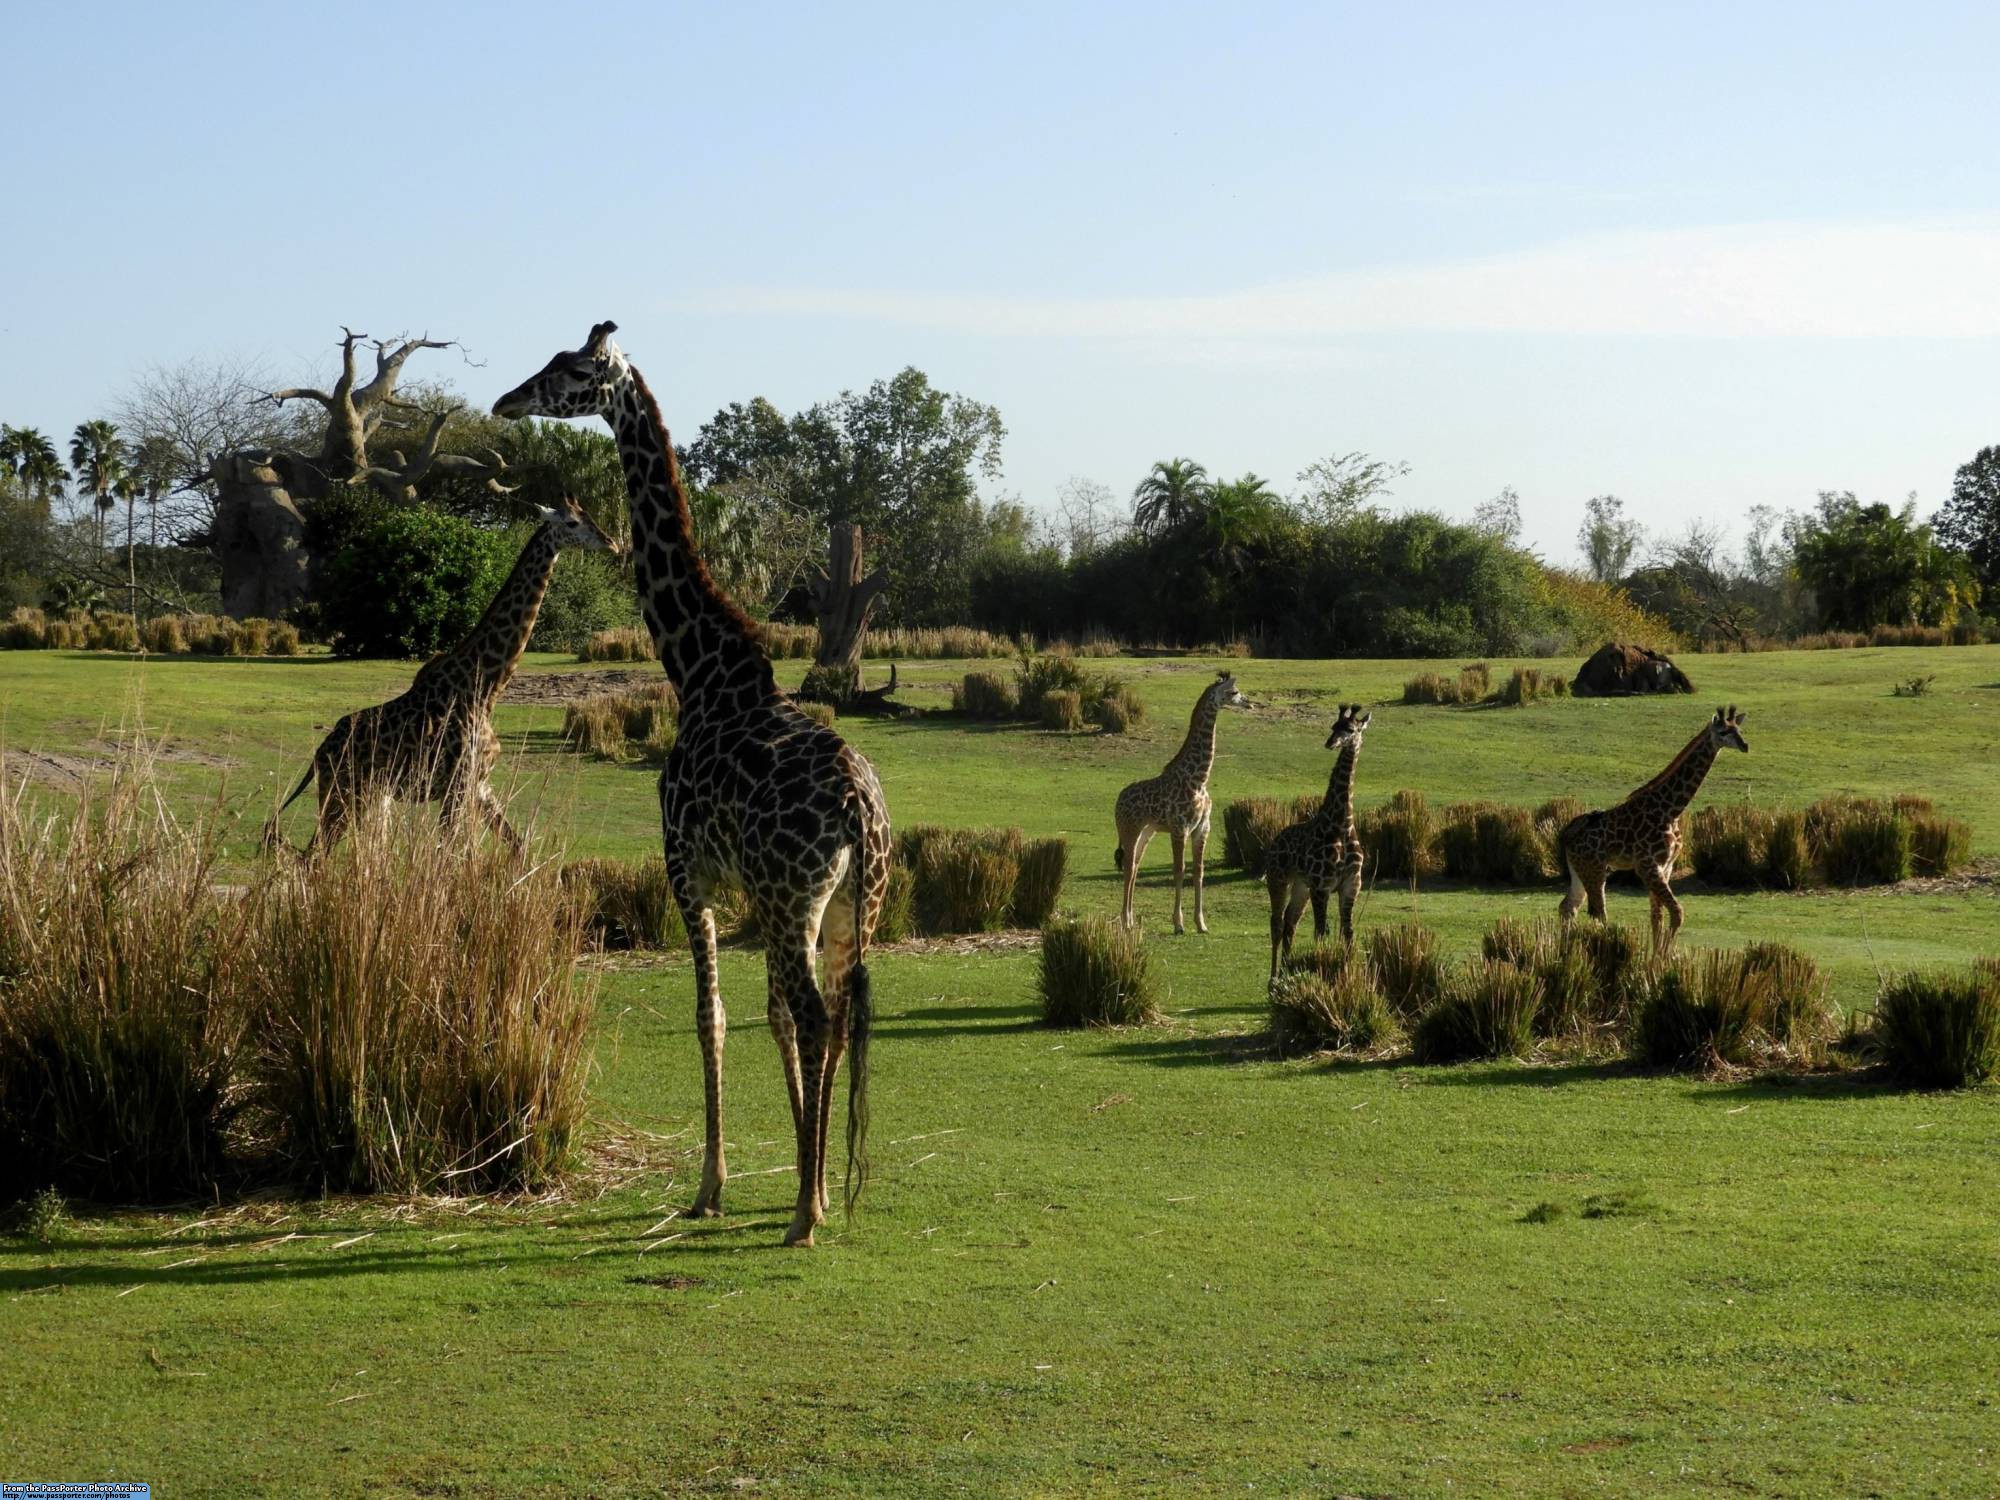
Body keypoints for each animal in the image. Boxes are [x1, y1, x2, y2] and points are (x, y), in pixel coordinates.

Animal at [262, 494, 616, 856]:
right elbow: (451, 854)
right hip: (345, 793)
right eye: (572, 522)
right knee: (315, 856)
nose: (612, 543)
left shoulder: (478, 783)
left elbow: (513, 847)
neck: (487, 687)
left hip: (364, 795)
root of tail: (319, 755)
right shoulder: (457, 783)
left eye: (589, 515)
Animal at [488, 324, 888, 1248]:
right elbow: (766, 1017)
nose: (505, 401)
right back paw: (819, 1197)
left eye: (570, 372)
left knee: (818, 1015)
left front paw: (713, 1186)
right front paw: (800, 1176)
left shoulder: (687, 870)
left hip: (796, 896)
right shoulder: (749, 890)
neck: (699, 668)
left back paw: (803, 1220)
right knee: (834, 1017)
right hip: (853, 903)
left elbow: (713, 1018)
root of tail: (860, 810)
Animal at [1112, 676, 1248, 936]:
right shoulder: (1179, 827)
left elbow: (1198, 871)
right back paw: (1125, 922)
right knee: (1128, 866)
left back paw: (1131, 920)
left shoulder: (1201, 829)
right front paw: (1178, 924)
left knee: (1135, 867)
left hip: (1147, 832)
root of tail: (1118, 801)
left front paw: (1201, 923)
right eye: (1234, 692)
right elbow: (1179, 870)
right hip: (1129, 829)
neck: (1198, 779)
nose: (1249, 703)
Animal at [1264, 708, 1376, 988]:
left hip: (1301, 887)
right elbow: (1321, 931)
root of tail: (1275, 841)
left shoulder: (1350, 885)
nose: (1330, 743)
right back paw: (1273, 979)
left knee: (1290, 923)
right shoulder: (1322, 886)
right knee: (1276, 924)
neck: (1341, 824)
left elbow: (1347, 932)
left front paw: (1348, 976)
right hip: (1279, 880)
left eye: (1351, 729)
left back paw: (1285, 972)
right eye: (1333, 726)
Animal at [1552, 704, 1744, 952]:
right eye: (1723, 732)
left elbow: (1657, 916)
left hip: (1579, 869)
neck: (1671, 809)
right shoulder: (1647, 865)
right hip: (1594, 869)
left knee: (1568, 907)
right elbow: (1676, 912)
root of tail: (1567, 834)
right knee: (1598, 913)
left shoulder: (1665, 867)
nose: (1745, 745)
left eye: (1739, 730)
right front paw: (1664, 957)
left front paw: (1656, 958)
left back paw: (1566, 950)